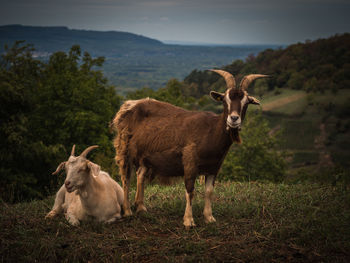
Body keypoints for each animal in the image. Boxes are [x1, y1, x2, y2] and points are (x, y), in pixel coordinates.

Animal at [112, 70, 268, 229]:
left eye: (246, 102)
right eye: (224, 100)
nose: (234, 119)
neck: (211, 131)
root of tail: (129, 105)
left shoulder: (214, 167)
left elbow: (209, 191)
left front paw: (209, 217)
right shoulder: (190, 161)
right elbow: (190, 190)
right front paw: (188, 221)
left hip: (145, 156)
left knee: (141, 174)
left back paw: (141, 207)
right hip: (125, 148)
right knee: (126, 177)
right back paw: (128, 211)